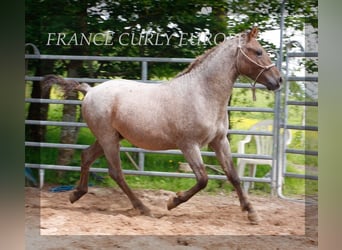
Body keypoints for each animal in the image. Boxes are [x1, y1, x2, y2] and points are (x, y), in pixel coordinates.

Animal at [42, 27, 282, 225]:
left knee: (86, 156)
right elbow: (203, 179)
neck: (202, 94)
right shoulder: (189, 145)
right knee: (116, 172)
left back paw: (75, 194)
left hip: (110, 137)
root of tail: (90, 90)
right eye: (258, 52)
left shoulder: (219, 141)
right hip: (108, 138)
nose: (278, 80)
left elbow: (233, 176)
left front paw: (252, 213)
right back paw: (144, 208)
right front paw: (172, 202)